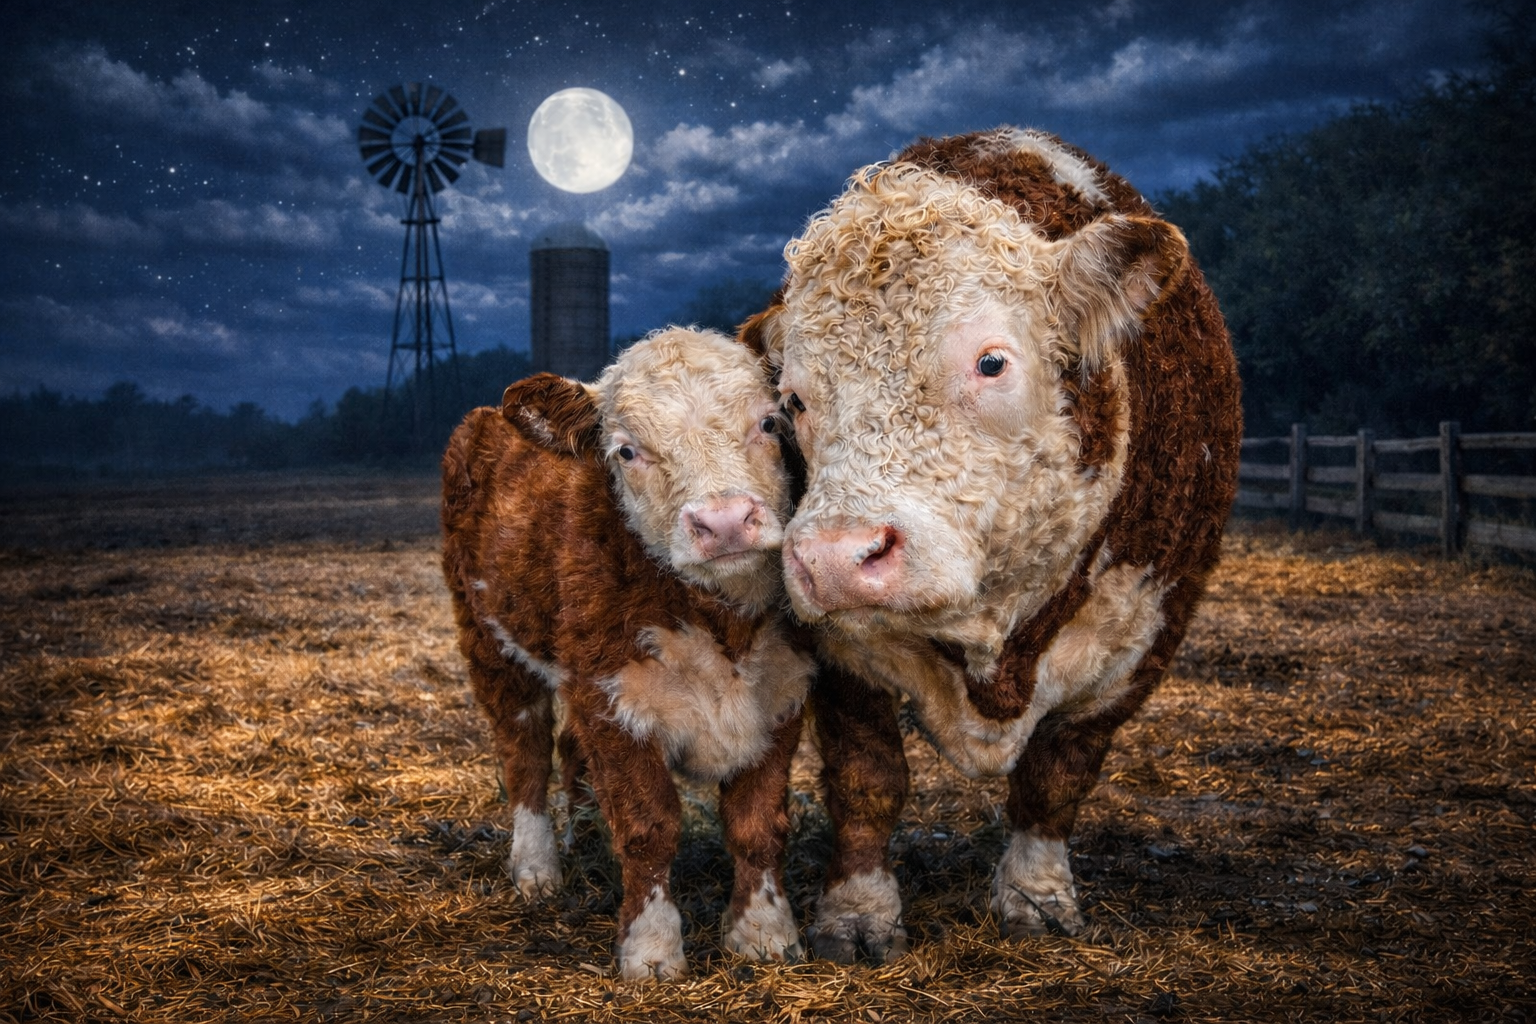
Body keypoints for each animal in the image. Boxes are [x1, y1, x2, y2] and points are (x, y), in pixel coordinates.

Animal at [440, 327, 814, 980]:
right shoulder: (612, 701)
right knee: (524, 753)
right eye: (627, 452)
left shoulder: (782, 695)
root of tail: (485, 417)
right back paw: (536, 868)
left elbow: (759, 826)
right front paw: (651, 950)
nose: (723, 522)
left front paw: (765, 933)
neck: (723, 623)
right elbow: (648, 829)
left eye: (769, 422)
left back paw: (585, 835)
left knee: (568, 748)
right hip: (491, 643)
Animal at [742, 128, 1243, 960]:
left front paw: (1037, 900)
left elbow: (1057, 779)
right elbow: (867, 778)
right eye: (794, 400)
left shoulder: (1139, 646)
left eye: (991, 362)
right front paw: (858, 914)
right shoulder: (841, 654)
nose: (837, 557)